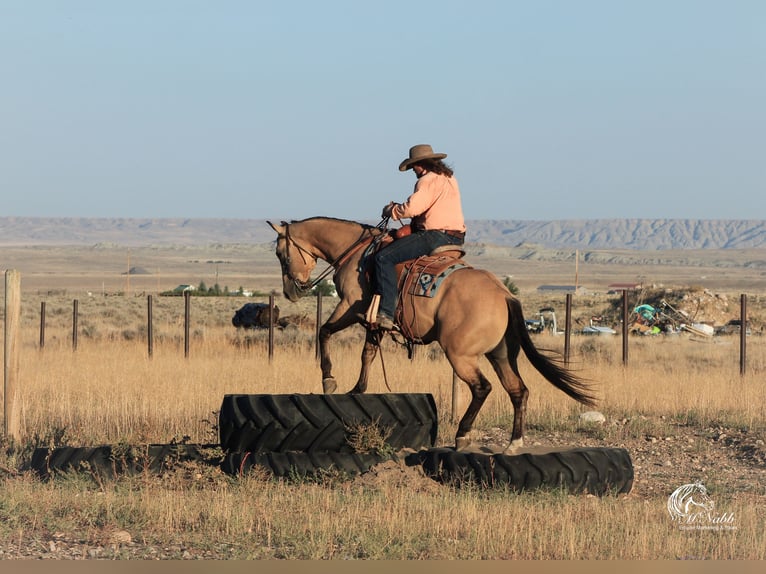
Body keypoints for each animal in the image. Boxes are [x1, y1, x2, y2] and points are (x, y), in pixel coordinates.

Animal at [268, 217, 596, 454]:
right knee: (518, 390)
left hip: (461, 354)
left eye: (281, 254)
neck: (357, 253)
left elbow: (324, 331)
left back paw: (462, 434)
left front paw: (329, 379)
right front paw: (357, 389)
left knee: (483, 388)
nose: (290, 291)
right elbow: (367, 354)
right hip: (501, 354)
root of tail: (505, 295)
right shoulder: (374, 321)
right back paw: (513, 444)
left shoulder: (351, 306)